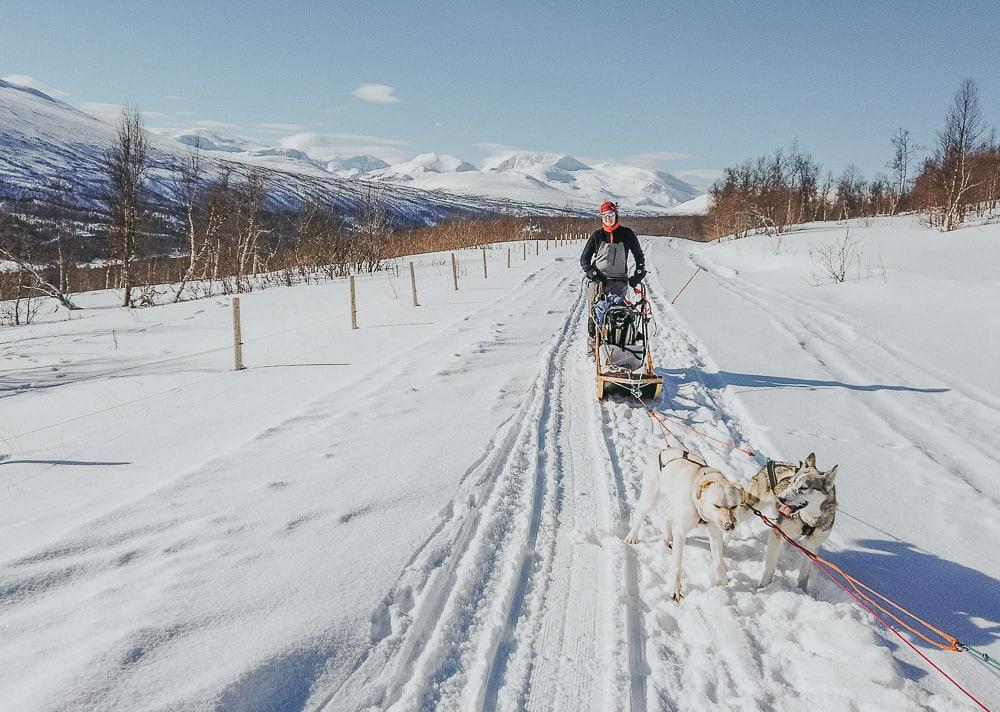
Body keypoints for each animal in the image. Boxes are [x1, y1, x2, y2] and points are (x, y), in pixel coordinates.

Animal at [628, 450, 748, 600]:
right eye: (717, 505)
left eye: (734, 506)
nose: (729, 526)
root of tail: (664, 450)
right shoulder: (681, 531)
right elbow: (677, 564)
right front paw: (675, 589)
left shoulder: (715, 532)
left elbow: (718, 562)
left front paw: (723, 582)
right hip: (650, 497)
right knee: (640, 514)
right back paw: (632, 536)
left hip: (675, 506)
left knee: (667, 517)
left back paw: (668, 538)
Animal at [748, 456, 840, 588]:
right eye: (792, 482)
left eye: (804, 487)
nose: (781, 498)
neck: (808, 519)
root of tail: (775, 462)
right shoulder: (778, 533)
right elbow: (770, 566)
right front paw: (763, 587)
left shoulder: (812, 545)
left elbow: (804, 575)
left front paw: (802, 590)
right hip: (750, 507)